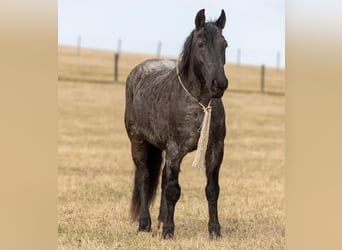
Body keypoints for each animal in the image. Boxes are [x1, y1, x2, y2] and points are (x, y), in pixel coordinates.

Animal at [124, 8, 228, 239]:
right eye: (201, 43)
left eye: (224, 44)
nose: (219, 84)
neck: (200, 105)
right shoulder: (174, 150)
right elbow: (173, 190)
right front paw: (169, 232)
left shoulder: (215, 150)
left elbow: (212, 189)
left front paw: (215, 231)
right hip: (138, 142)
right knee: (144, 177)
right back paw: (145, 224)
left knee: (162, 179)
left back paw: (161, 220)